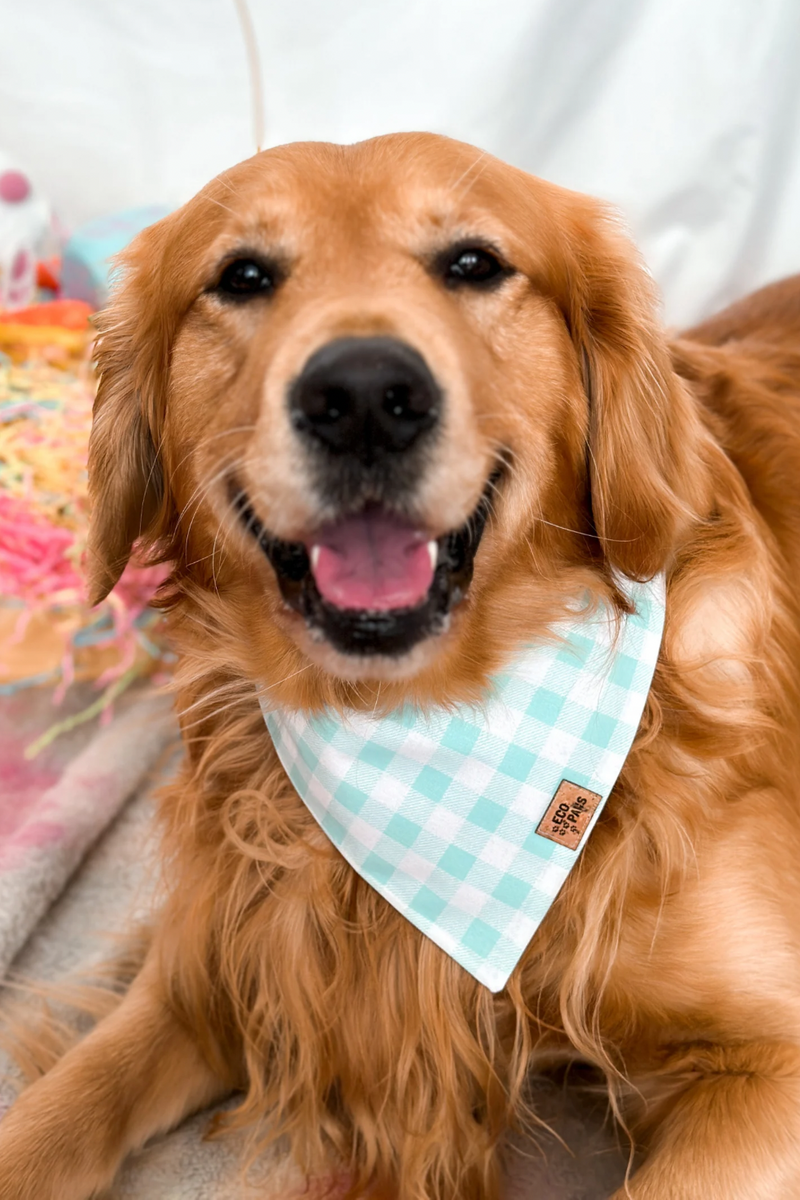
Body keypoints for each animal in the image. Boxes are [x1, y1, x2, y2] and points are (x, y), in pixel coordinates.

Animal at [1, 133, 800, 1200]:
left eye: (473, 263)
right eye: (242, 276)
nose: (364, 399)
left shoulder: (769, 1059)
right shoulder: (207, 976)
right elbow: (56, 1113)